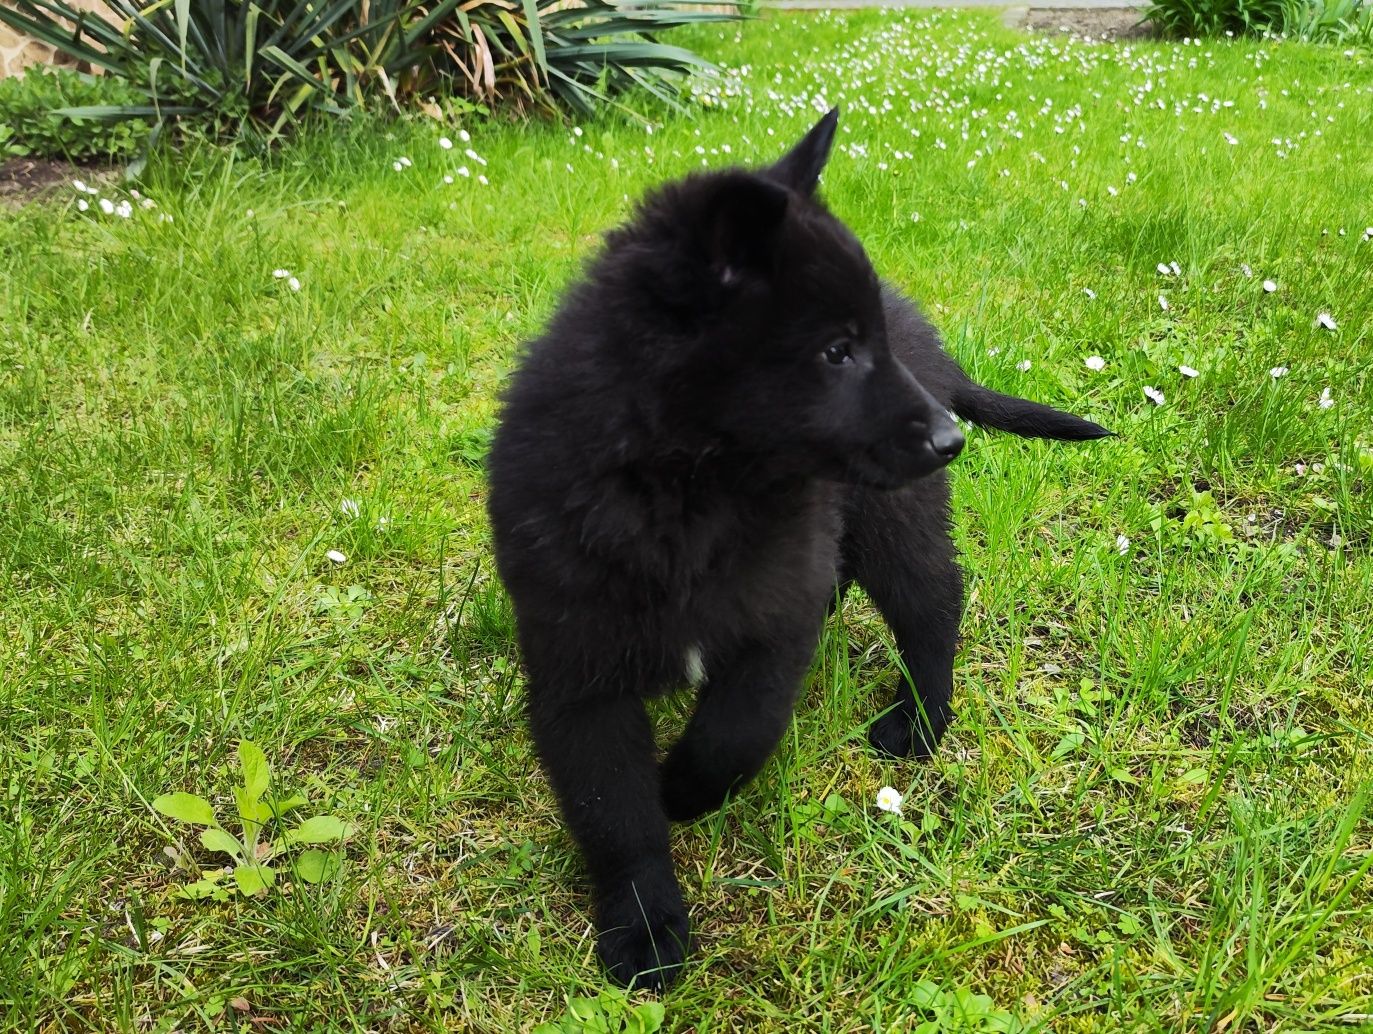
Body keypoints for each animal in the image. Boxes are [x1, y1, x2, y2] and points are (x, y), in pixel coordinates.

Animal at [483, 109, 1103, 988]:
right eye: (835, 350)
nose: (949, 440)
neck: (687, 491)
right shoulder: (576, 666)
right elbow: (612, 809)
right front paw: (643, 924)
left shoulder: (775, 617)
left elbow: (735, 732)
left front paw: (682, 790)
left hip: (894, 518)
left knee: (933, 605)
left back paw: (918, 721)